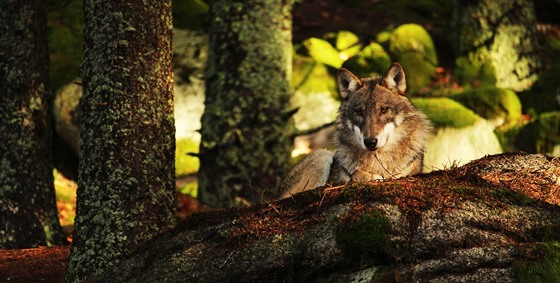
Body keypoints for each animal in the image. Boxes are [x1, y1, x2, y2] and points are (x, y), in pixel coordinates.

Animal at [280, 63, 434, 199]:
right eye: (359, 112)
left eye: (383, 110)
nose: (370, 142)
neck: (378, 161)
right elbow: (359, 174)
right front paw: (370, 177)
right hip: (323, 155)